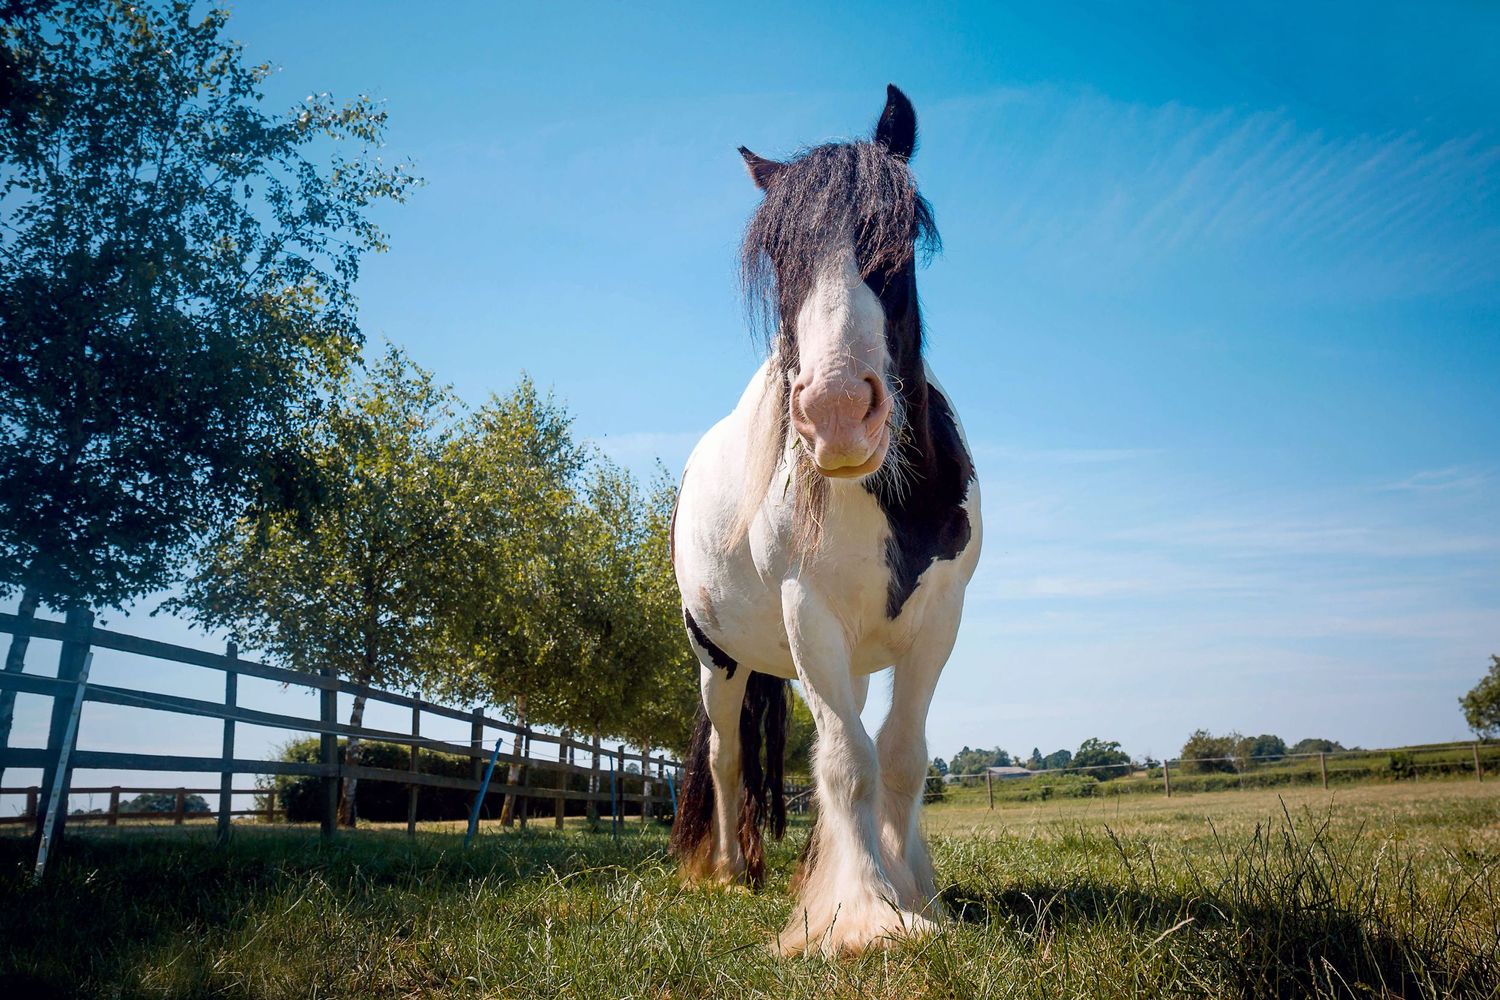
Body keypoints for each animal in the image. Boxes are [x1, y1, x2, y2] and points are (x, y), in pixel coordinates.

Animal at [667, 85, 981, 957]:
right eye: (779, 256)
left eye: (900, 236)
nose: (838, 415)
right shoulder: (808, 615)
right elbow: (845, 762)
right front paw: (862, 914)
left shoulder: (939, 619)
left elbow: (899, 758)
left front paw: (915, 891)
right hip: (721, 662)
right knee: (726, 757)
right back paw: (732, 871)